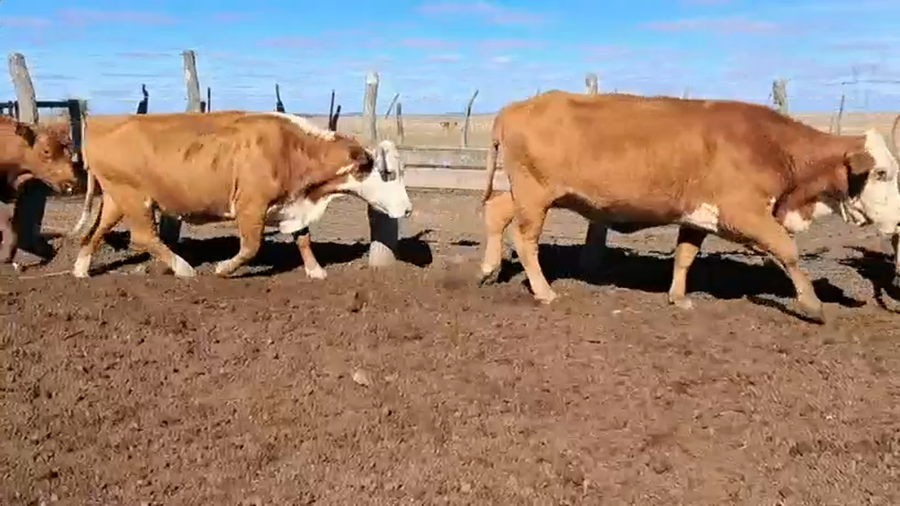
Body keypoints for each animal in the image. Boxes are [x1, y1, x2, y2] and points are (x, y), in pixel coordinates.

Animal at [70, 110, 412, 279]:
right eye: (388, 173)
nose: (408, 210)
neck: (291, 149)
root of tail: (98, 125)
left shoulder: (291, 205)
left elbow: (302, 238)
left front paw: (315, 271)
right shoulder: (251, 206)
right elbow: (251, 247)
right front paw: (223, 269)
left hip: (116, 200)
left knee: (94, 234)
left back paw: (81, 271)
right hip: (134, 199)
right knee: (142, 237)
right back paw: (184, 269)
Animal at [479, 90, 900, 323]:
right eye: (881, 173)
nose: (897, 223)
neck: (773, 146)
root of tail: (514, 107)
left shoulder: (698, 217)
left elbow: (684, 256)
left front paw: (678, 297)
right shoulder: (743, 214)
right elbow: (788, 251)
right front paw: (813, 305)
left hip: (526, 194)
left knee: (496, 212)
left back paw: (488, 269)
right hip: (535, 196)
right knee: (525, 240)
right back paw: (543, 291)